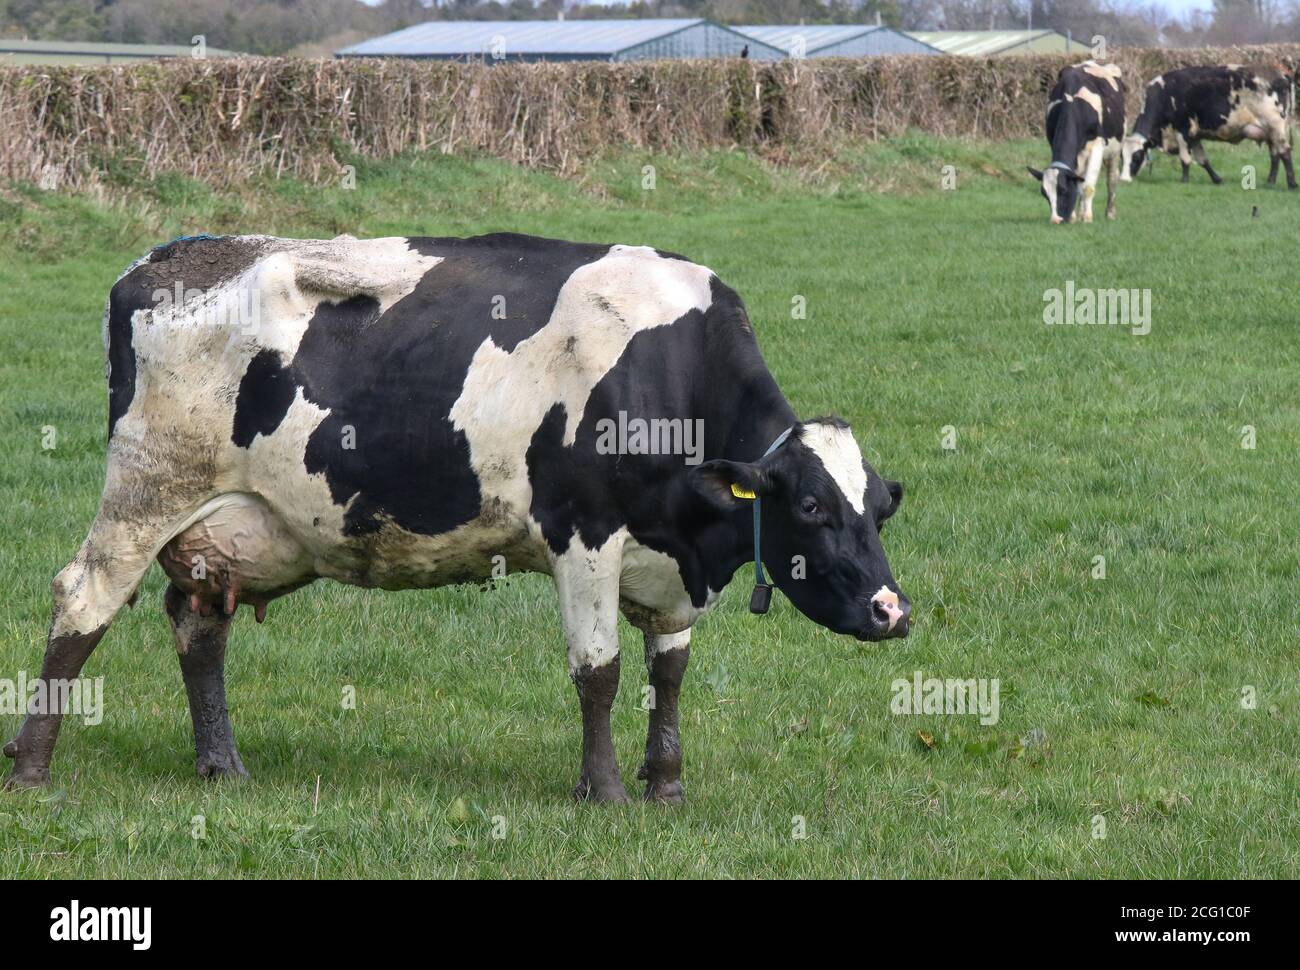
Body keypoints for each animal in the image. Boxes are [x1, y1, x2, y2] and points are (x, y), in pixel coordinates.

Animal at [2, 232, 915, 800]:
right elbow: (601, 673)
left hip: (233, 531)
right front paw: (605, 791)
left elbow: (669, 674)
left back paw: (222, 766)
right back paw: (33, 769)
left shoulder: (669, 566)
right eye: (811, 506)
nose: (892, 611)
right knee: (82, 600)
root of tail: (166, 257)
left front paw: (667, 784)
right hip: (147, 490)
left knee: (198, 625)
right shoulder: (584, 538)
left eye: (879, 508)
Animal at [1024, 60, 1128, 224]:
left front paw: (1087, 218)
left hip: (1116, 148)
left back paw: (1110, 213)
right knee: (1081, 178)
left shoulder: (1097, 146)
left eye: (1063, 190)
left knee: (1112, 178)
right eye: (1044, 193)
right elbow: (1078, 183)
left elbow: (1088, 187)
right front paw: (1074, 217)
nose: (1056, 220)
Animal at [1123, 62, 1294, 188]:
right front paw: (1217, 179)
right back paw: (1270, 182)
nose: (1125, 179)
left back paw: (1292, 184)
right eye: (1121, 156)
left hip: (1276, 127)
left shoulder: (1182, 130)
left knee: (1284, 152)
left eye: (1137, 156)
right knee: (1275, 155)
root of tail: (1281, 75)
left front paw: (1184, 181)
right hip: (1270, 132)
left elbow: (1185, 159)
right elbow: (1202, 160)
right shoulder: (1194, 135)